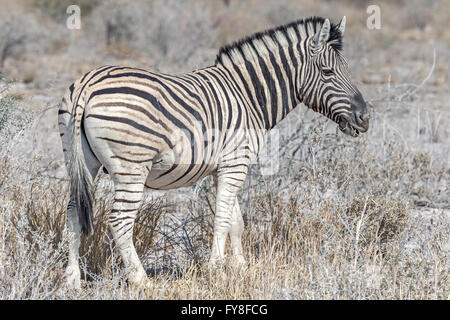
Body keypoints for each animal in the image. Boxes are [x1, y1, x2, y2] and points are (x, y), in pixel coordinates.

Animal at [59, 16, 370, 288]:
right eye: (328, 72)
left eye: (348, 70)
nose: (365, 118)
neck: (248, 96)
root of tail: (88, 84)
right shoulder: (236, 163)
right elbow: (222, 216)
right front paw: (216, 268)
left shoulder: (223, 168)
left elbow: (236, 221)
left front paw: (240, 266)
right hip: (131, 167)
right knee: (119, 220)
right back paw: (140, 280)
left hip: (82, 161)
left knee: (73, 211)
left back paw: (72, 279)